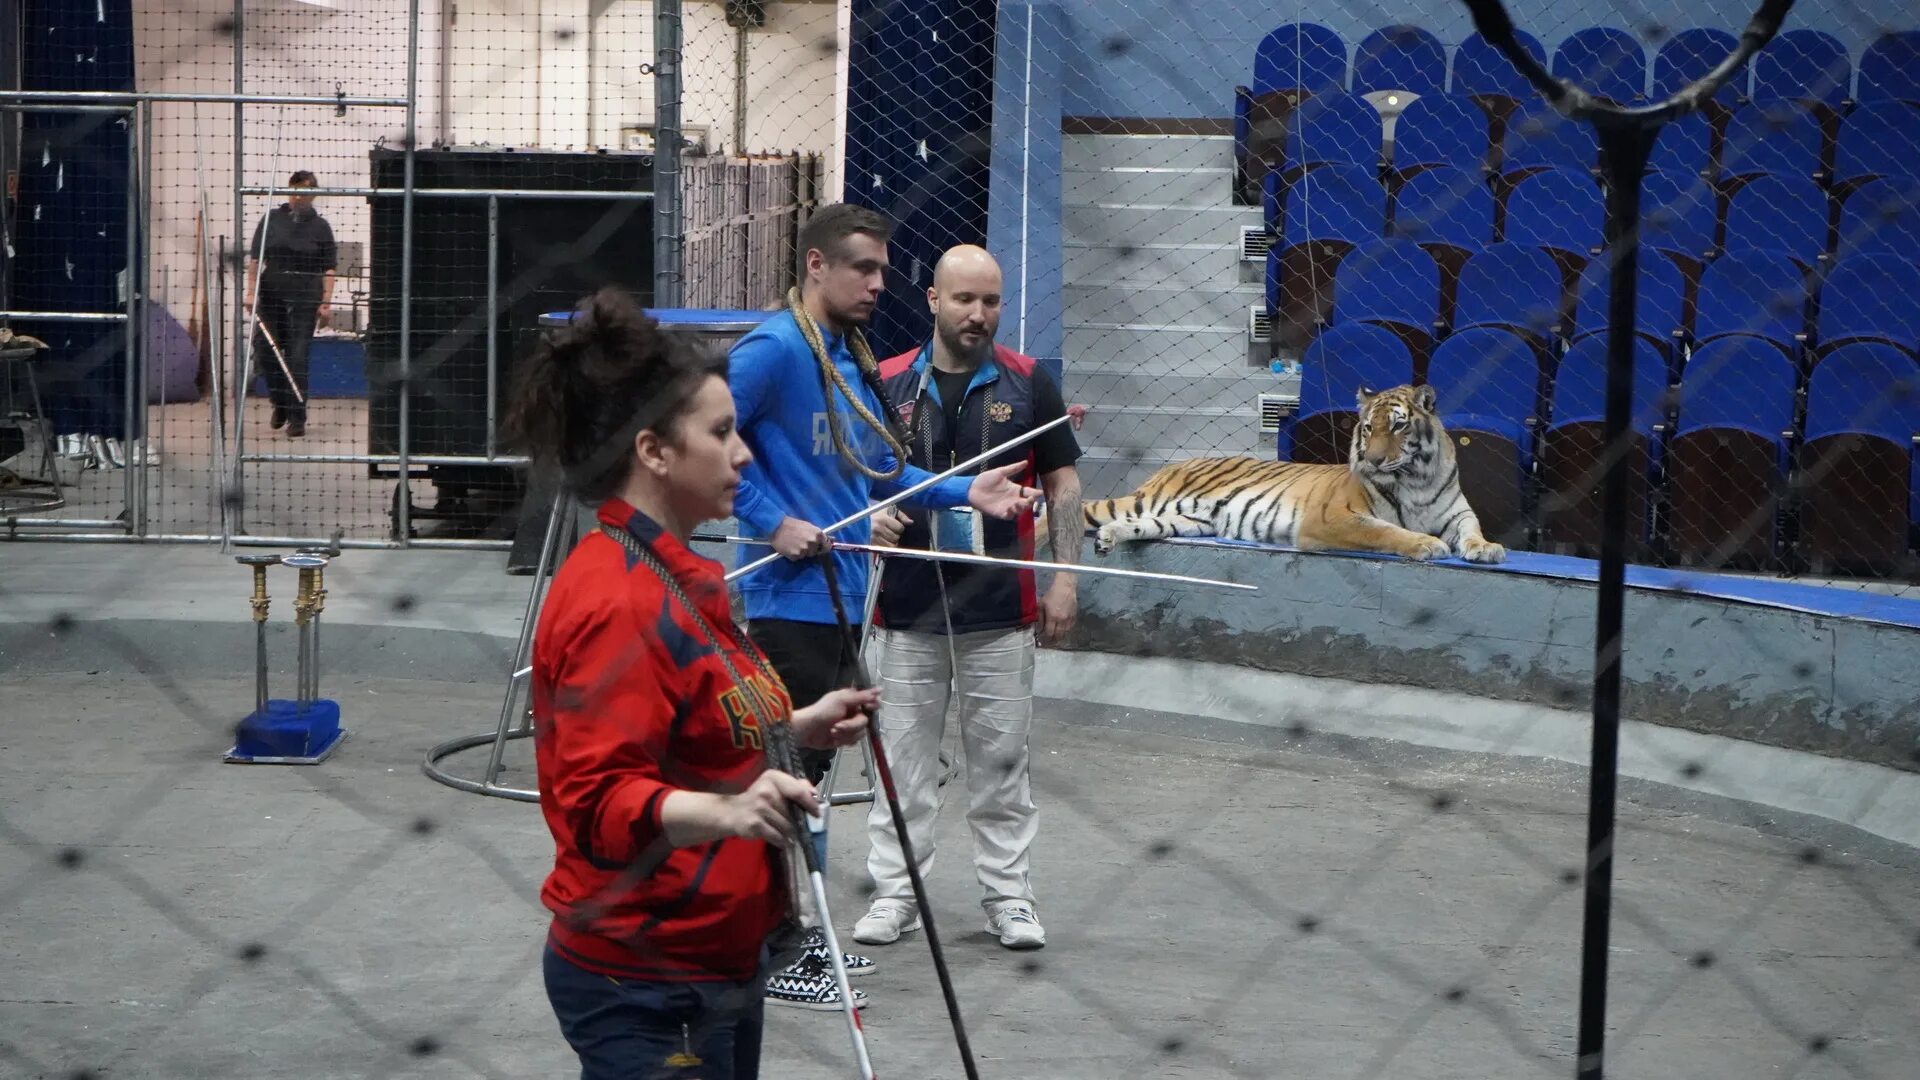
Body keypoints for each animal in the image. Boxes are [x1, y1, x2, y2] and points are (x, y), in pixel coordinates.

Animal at [1067, 380, 1497, 564]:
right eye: (1368, 428)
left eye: (1398, 426)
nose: (1374, 460)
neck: (1415, 478)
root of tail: (1175, 463)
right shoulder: (1333, 517)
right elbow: (1385, 531)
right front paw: (1426, 544)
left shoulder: (1456, 512)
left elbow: (1471, 529)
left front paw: (1486, 549)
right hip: (1146, 502)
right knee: (1084, 510)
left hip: (1183, 520)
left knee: (1134, 526)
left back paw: (1106, 540)